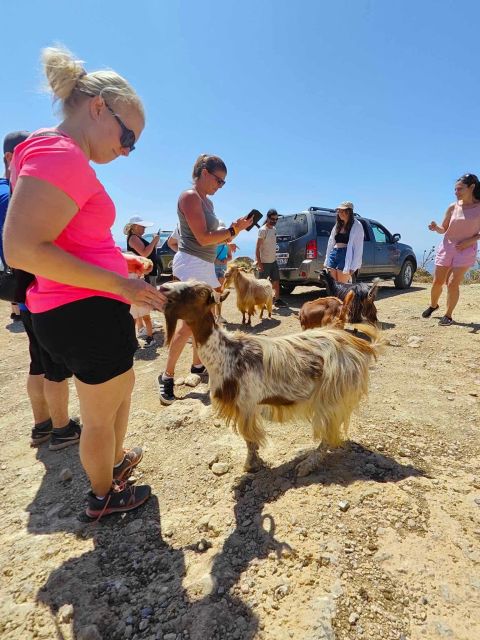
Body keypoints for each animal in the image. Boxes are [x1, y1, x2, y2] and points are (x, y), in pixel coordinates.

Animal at [161, 280, 382, 476]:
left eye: (200, 292)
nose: (164, 289)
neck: (226, 354)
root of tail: (361, 345)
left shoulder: (246, 405)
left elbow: (249, 439)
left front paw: (250, 465)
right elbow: (249, 439)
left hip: (332, 396)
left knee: (328, 433)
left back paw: (306, 465)